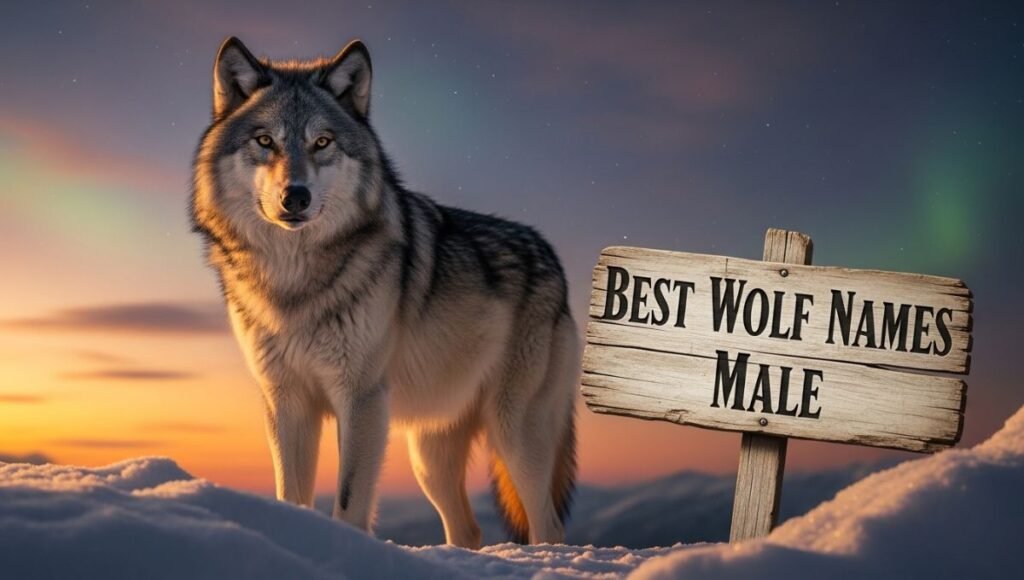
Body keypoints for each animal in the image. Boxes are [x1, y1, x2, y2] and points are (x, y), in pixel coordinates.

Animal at [190, 37, 579, 548]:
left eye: (322, 142)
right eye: (265, 141)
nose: (296, 196)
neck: (294, 279)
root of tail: (551, 256)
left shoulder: (361, 400)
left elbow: (349, 501)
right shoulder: (286, 402)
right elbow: (290, 496)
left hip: (514, 434)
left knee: (548, 525)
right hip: (429, 454)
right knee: (467, 529)